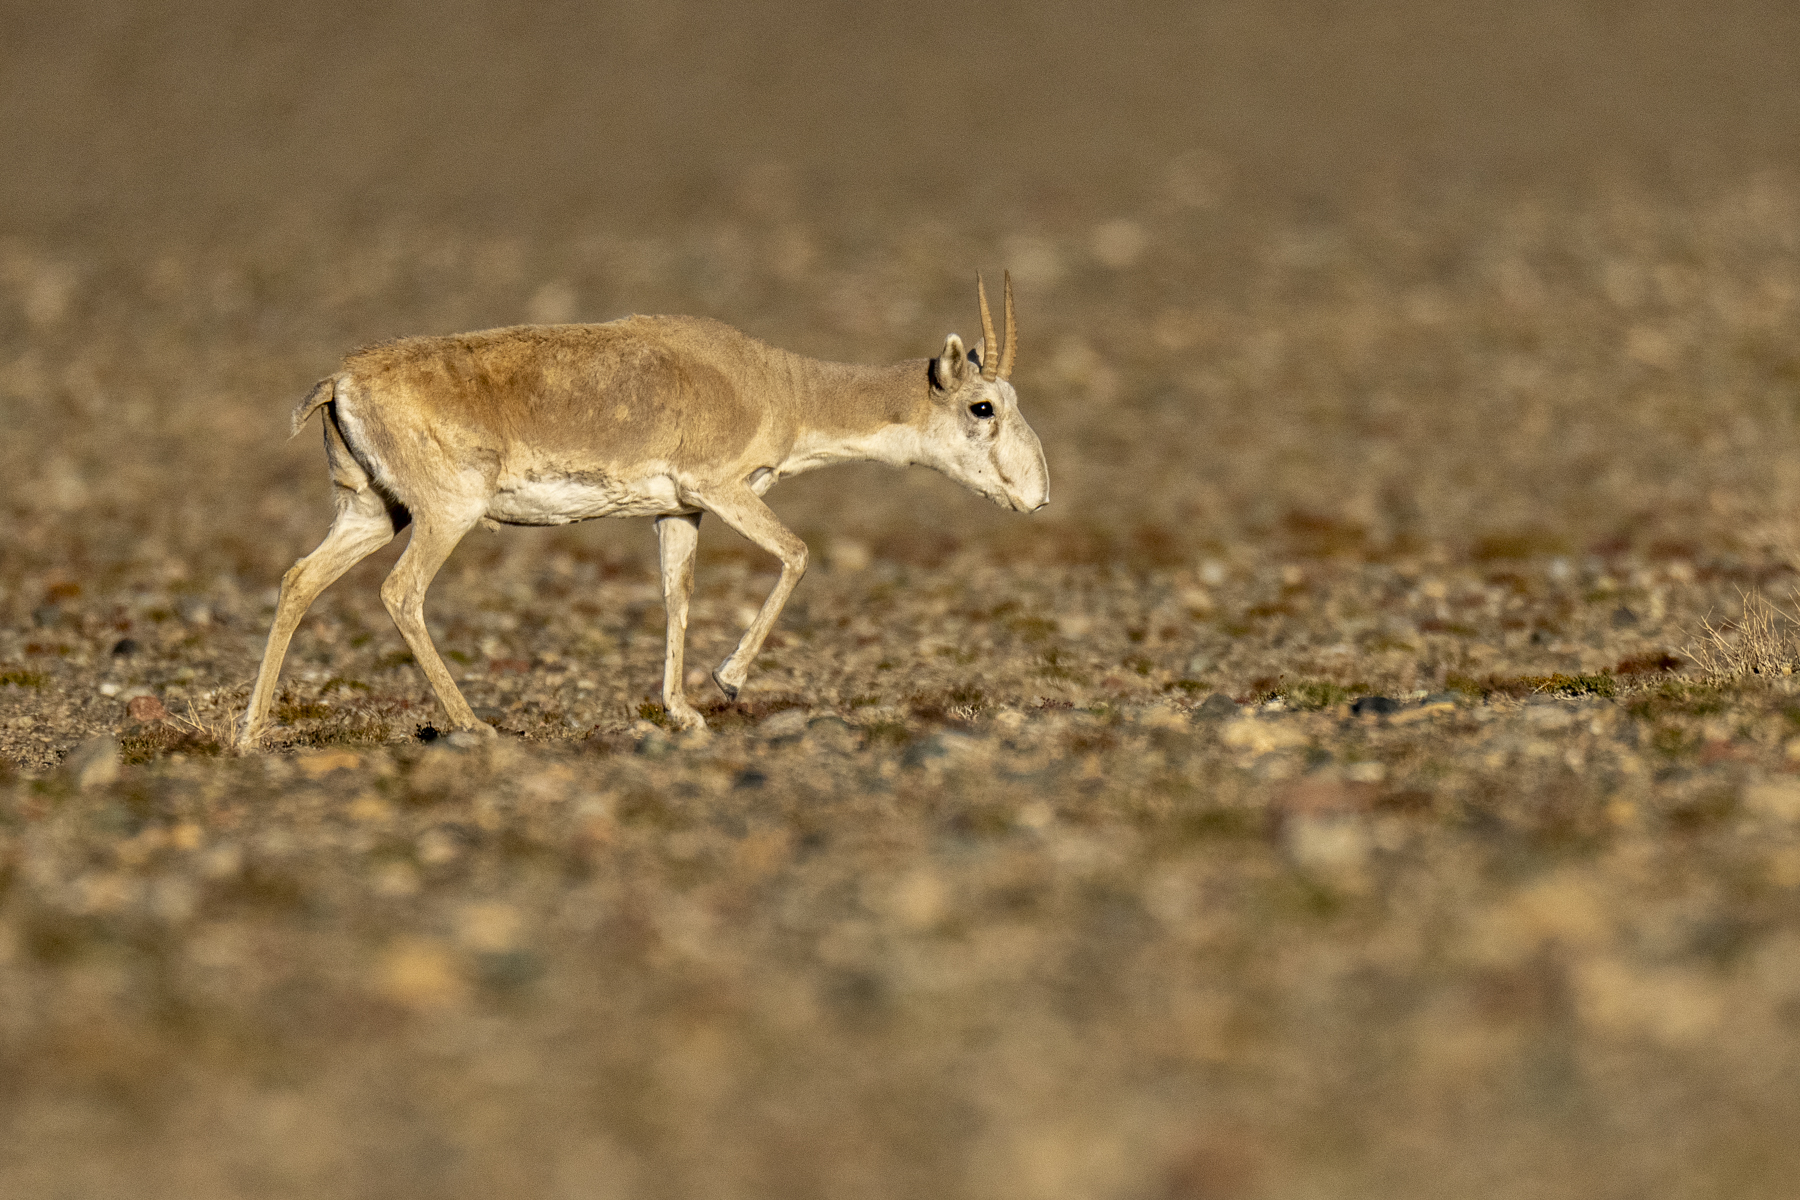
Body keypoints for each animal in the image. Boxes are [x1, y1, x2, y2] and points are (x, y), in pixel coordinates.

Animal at [238, 274, 1047, 748]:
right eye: (983, 406)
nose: (1037, 494)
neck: (781, 386)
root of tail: (340, 379)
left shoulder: (679, 513)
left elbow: (675, 595)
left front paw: (682, 711)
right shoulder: (724, 490)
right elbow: (797, 554)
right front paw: (728, 681)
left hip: (373, 513)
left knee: (298, 580)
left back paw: (249, 735)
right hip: (445, 515)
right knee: (400, 592)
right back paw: (473, 724)